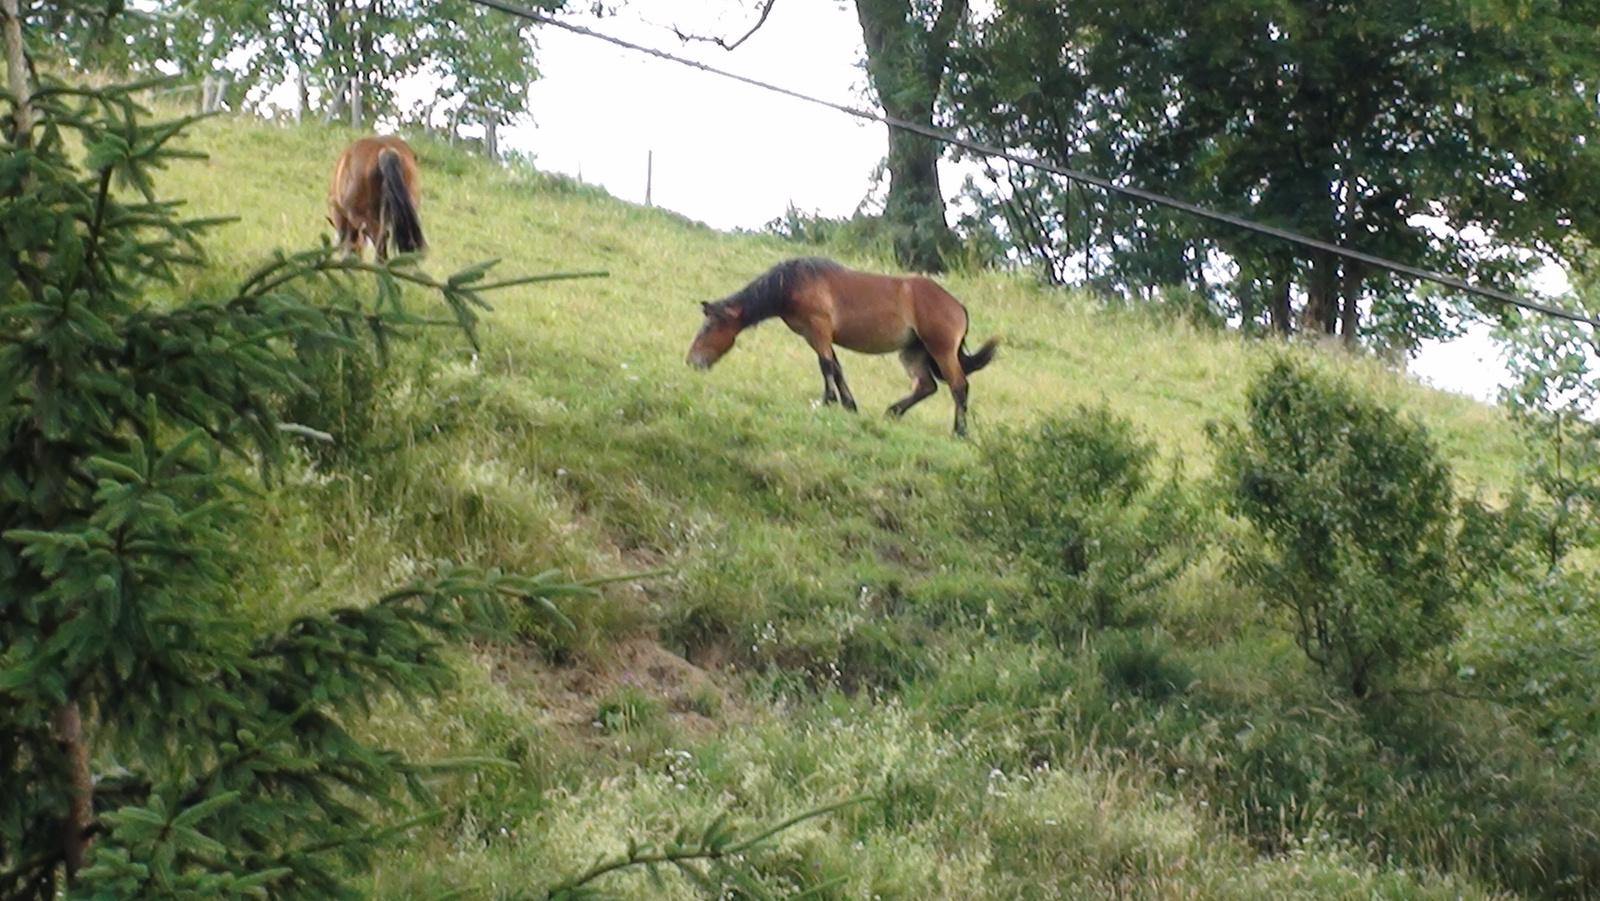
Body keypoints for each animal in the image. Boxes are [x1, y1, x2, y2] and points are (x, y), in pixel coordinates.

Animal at [681, 257, 992, 438]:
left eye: (708, 328)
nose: (692, 362)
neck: (791, 284)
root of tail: (958, 306)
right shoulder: (815, 336)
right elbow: (837, 367)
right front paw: (849, 404)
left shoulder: (818, 329)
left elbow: (826, 365)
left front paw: (827, 401)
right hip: (913, 352)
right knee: (926, 386)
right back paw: (893, 412)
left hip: (941, 351)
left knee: (958, 386)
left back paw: (959, 432)